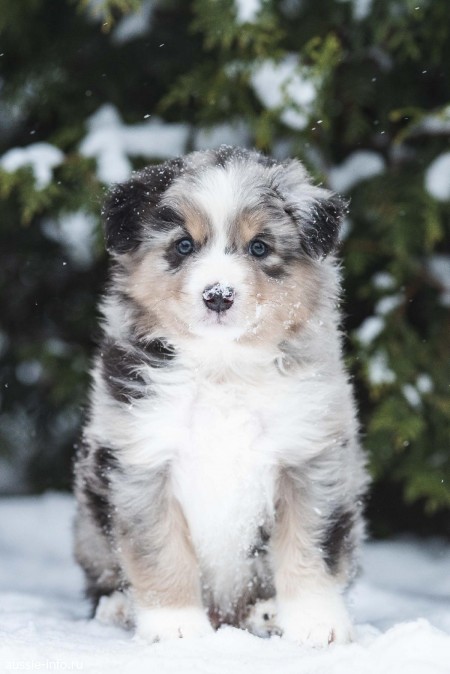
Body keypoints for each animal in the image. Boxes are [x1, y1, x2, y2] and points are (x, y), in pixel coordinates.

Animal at [74, 146, 369, 646]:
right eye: (183, 245)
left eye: (259, 247)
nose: (218, 295)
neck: (222, 369)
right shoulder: (143, 459)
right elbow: (161, 551)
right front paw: (175, 627)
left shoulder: (311, 457)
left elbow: (310, 546)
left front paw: (317, 625)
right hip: (91, 516)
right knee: (104, 575)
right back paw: (118, 607)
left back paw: (265, 614)